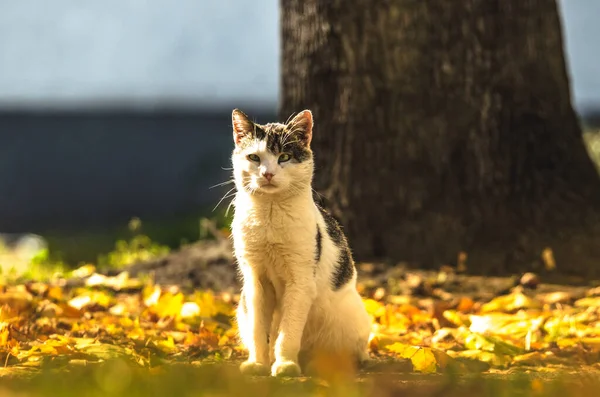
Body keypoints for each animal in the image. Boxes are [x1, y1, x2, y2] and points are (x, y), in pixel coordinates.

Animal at [229, 109, 370, 378]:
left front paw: (284, 364)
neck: (270, 215)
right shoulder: (255, 281)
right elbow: (259, 330)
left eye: (284, 157)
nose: (267, 174)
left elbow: (288, 331)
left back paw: (321, 365)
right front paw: (259, 364)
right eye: (254, 157)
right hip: (242, 305)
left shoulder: (300, 281)